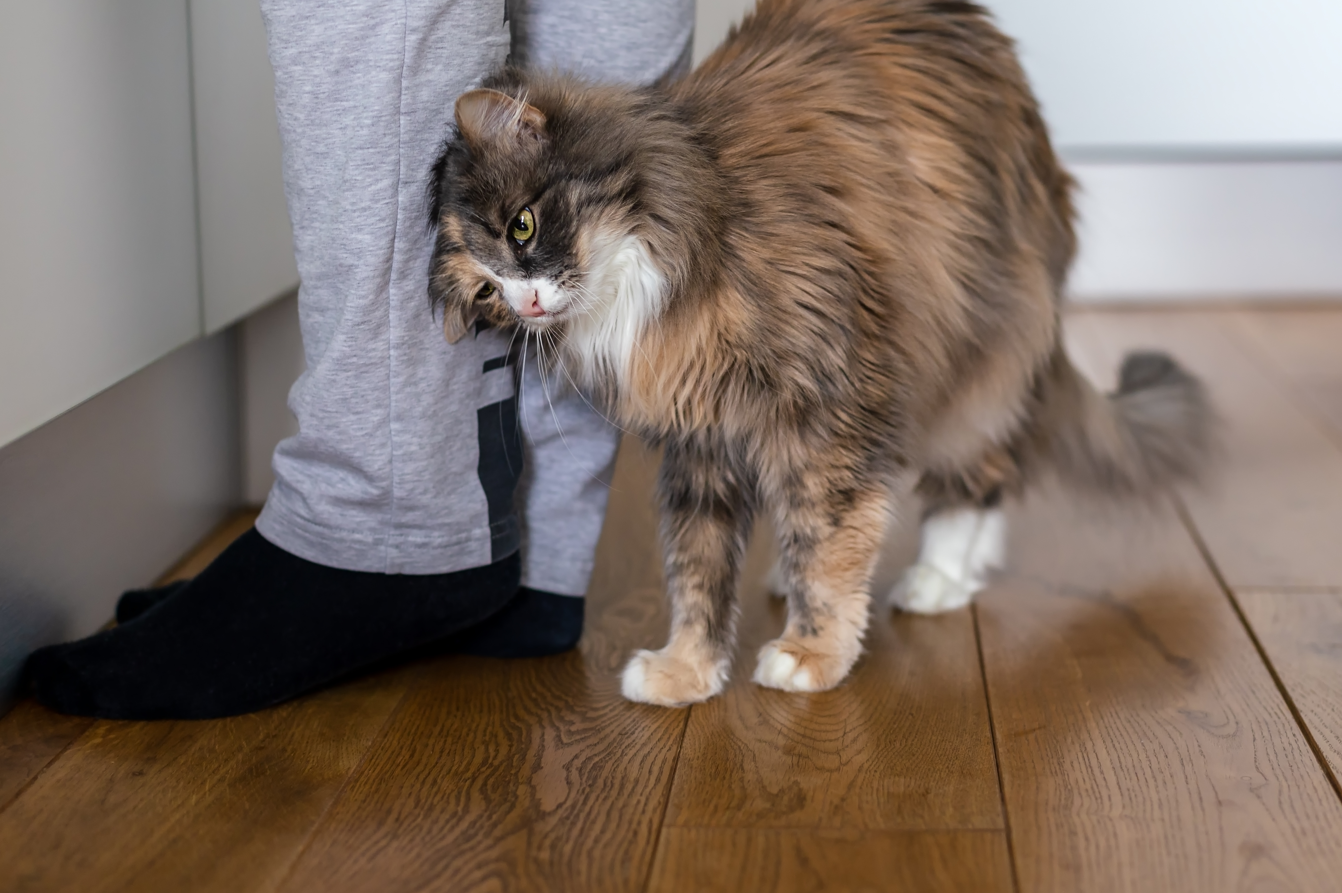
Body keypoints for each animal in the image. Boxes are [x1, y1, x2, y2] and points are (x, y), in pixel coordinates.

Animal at [429, 0, 1218, 709]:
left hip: (971, 359)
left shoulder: (831, 408)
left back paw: (939, 578)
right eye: (489, 291)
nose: (526, 304)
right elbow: (697, 567)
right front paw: (687, 670)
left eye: (522, 226)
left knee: (983, 473)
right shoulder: (700, 441)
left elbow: (832, 542)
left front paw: (813, 652)